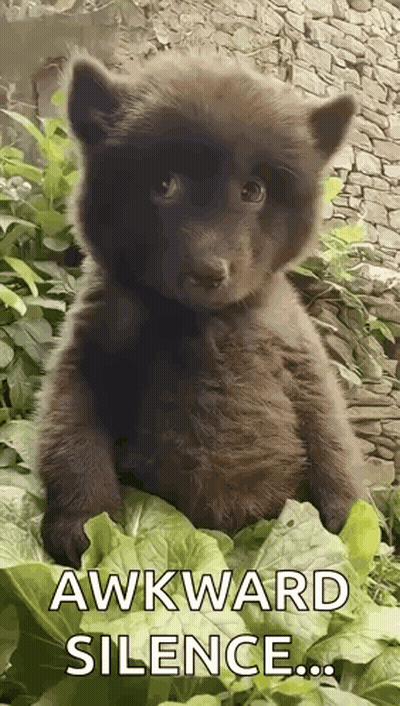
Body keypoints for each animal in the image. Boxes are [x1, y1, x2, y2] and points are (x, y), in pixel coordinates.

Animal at [36, 49, 362, 567]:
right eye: (164, 184)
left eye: (253, 190)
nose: (209, 272)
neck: (203, 319)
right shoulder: (89, 348)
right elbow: (72, 435)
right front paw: (83, 528)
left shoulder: (302, 355)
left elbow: (330, 434)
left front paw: (349, 526)